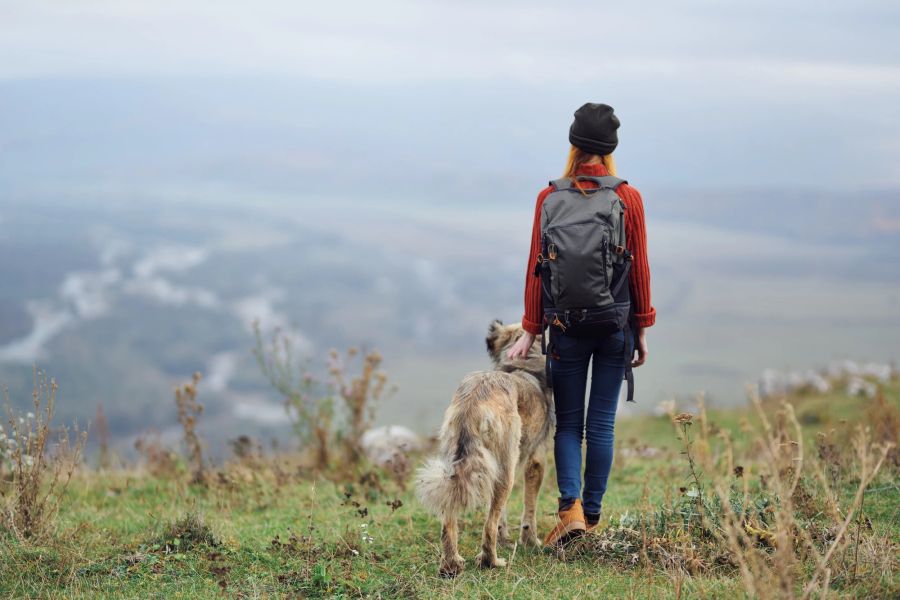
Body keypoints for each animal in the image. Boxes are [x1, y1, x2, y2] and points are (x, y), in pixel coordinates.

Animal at [416, 322, 556, 580]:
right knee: (487, 526)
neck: (521, 365)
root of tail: (474, 402)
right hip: (505, 472)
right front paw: (530, 541)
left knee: (449, 519)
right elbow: (528, 509)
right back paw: (491, 561)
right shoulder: (536, 460)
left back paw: (451, 564)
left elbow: (500, 512)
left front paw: (505, 538)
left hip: (457, 465)